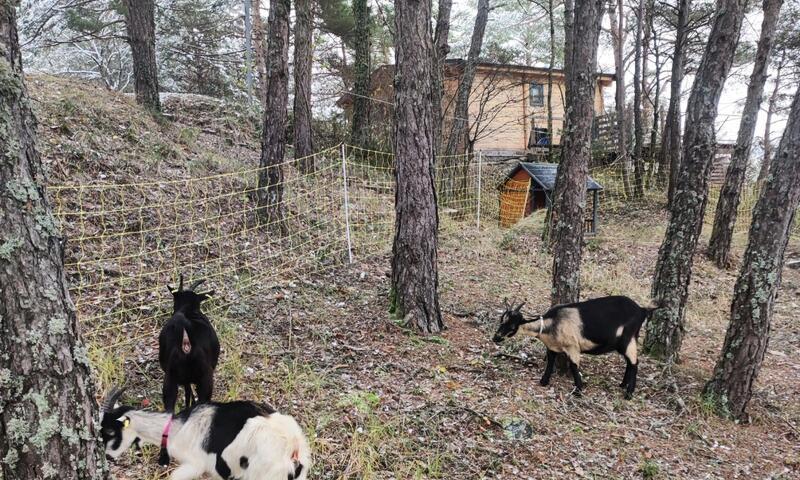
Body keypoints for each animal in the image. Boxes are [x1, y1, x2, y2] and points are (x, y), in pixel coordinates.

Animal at [158, 274, 220, 464]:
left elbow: (187, 392)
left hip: (170, 378)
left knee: (168, 412)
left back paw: (164, 457)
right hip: (205, 378)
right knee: (202, 408)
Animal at [490, 296, 660, 398]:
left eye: (512, 325)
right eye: (501, 320)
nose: (495, 338)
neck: (552, 323)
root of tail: (642, 310)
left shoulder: (572, 347)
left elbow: (573, 366)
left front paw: (578, 390)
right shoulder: (552, 347)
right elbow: (550, 362)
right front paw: (543, 381)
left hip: (628, 338)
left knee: (634, 363)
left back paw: (629, 393)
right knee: (629, 363)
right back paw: (622, 384)